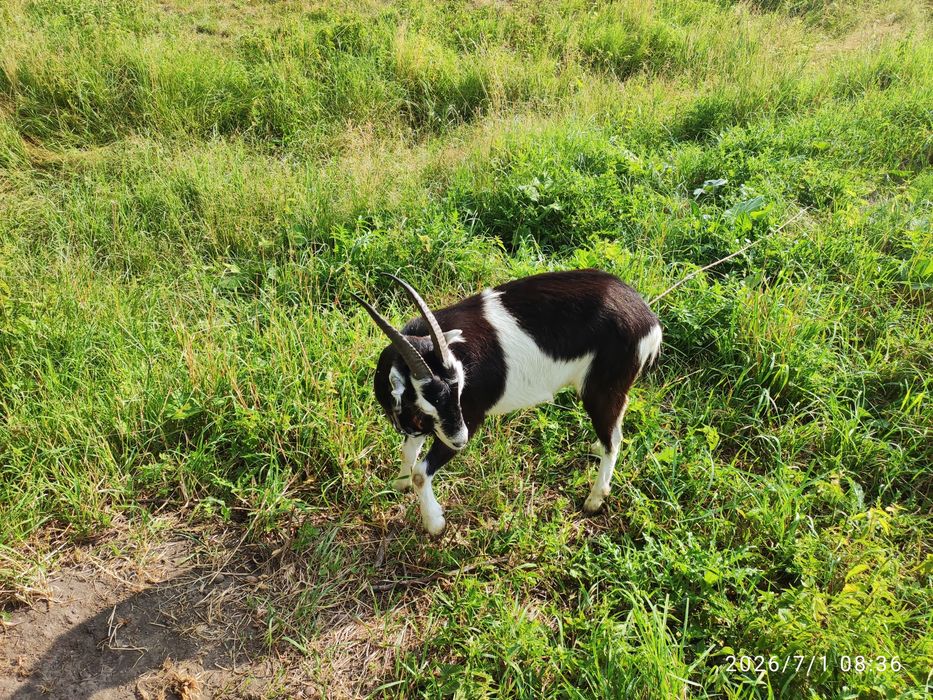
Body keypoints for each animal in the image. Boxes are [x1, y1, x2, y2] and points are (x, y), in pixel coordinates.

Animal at [352, 269, 662, 535]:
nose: (461, 441)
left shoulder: (469, 416)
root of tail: (647, 319)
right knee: (614, 431)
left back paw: (595, 499)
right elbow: (408, 452)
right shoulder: (427, 423)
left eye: (458, 390)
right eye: (425, 402)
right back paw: (596, 449)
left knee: (615, 439)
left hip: (603, 389)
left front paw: (434, 523)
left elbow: (420, 472)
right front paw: (399, 484)